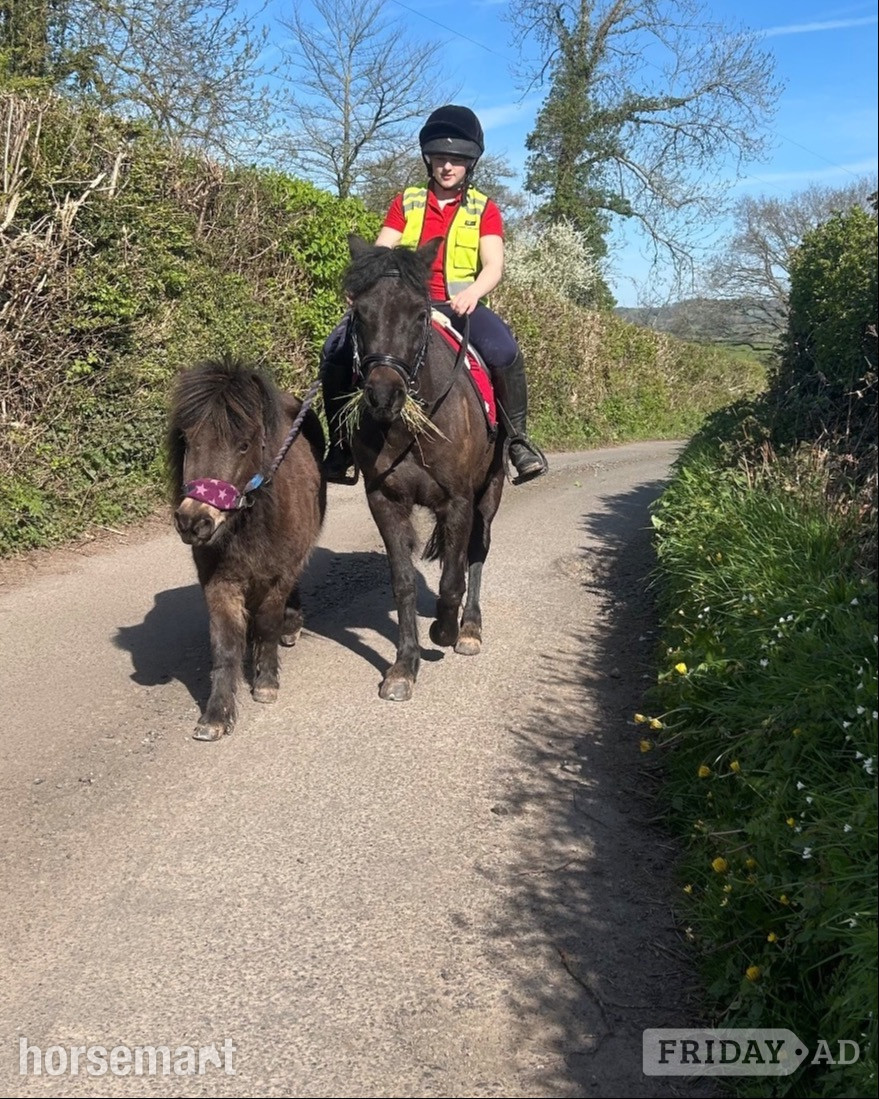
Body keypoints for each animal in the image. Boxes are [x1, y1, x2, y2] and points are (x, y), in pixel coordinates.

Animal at [167, 355, 326, 740]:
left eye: (243, 445)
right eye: (188, 440)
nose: (193, 522)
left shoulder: (277, 577)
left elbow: (268, 624)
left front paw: (266, 682)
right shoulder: (218, 583)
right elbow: (225, 645)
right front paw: (216, 715)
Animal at [341, 233, 506, 701]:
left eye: (418, 314)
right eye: (359, 312)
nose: (383, 395)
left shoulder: (459, 501)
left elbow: (451, 580)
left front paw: (445, 631)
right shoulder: (385, 501)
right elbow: (403, 583)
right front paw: (403, 667)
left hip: (490, 493)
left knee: (476, 553)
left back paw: (469, 629)